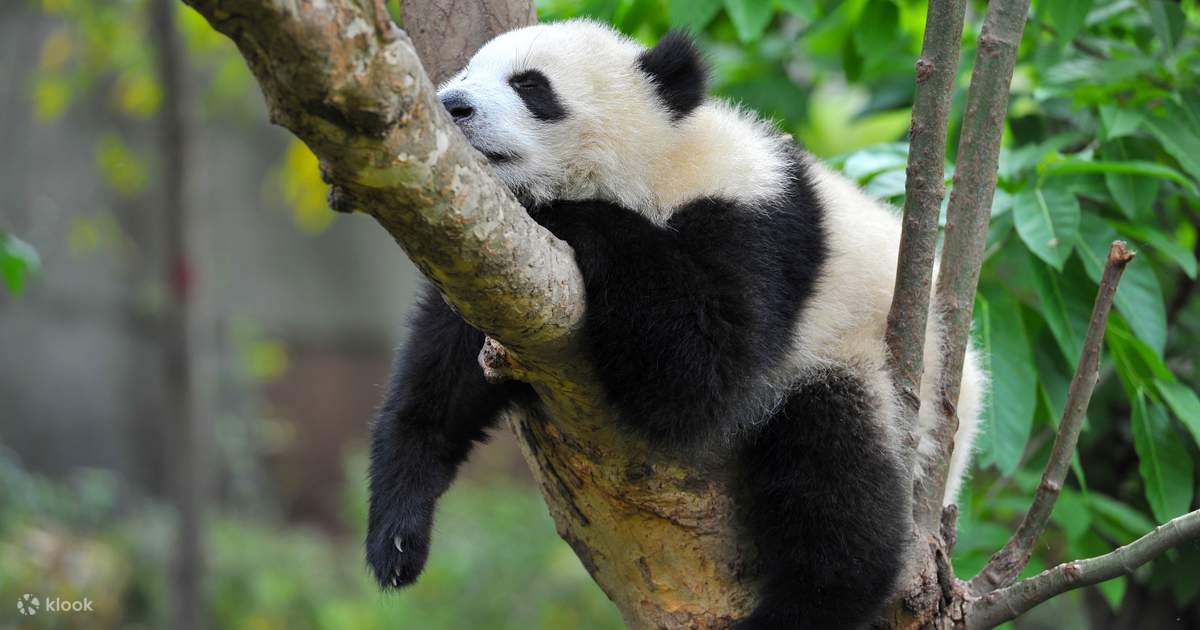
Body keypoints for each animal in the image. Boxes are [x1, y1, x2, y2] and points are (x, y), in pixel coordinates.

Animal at [366, 19, 985, 629]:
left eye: (531, 86)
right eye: (466, 71)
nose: (452, 105)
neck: (654, 161)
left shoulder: (759, 225)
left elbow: (704, 373)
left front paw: (567, 214)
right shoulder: (495, 266)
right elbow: (443, 372)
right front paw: (397, 535)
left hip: (872, 366)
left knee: (836, 469)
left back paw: (807, 604)